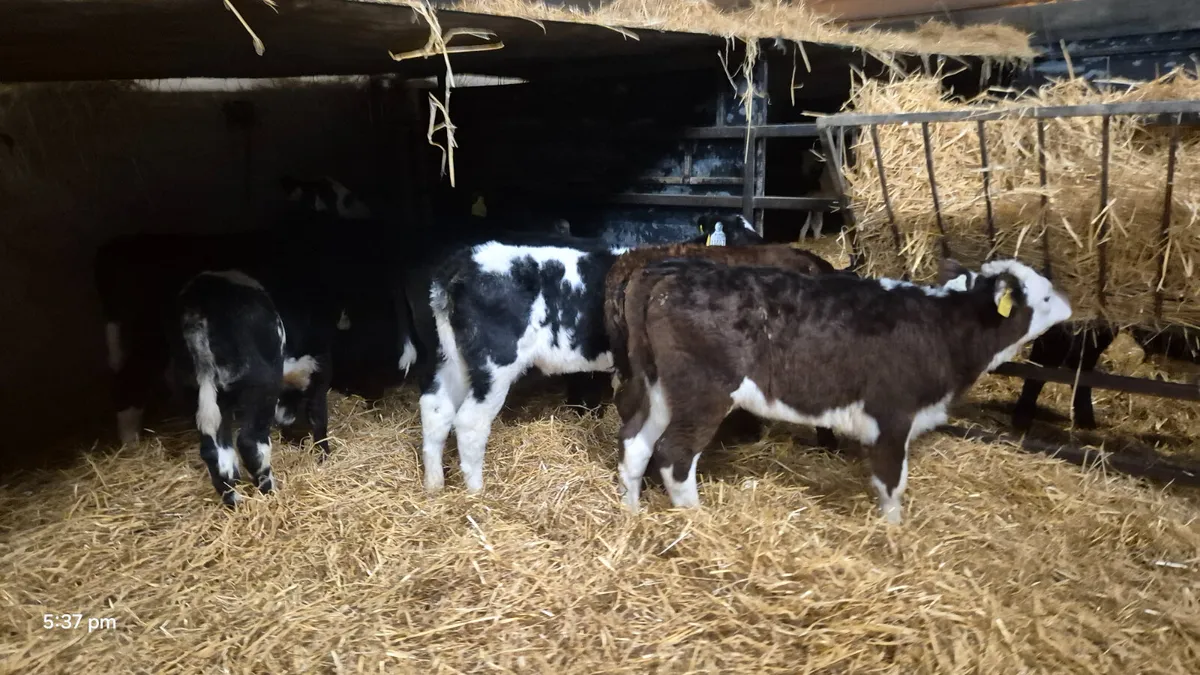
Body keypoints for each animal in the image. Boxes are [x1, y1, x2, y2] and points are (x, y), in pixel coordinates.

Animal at [615, 257, 1072, 522]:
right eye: (1046, 296)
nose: (1070, 303)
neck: (945, 326)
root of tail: (667, 272)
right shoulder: (893, 413)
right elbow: (891, 481)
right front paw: (893, 533)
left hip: (660, 386)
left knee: (636, 441)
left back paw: (632, 514)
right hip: (704, 390)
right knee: (675, 454)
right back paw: (696, 522)